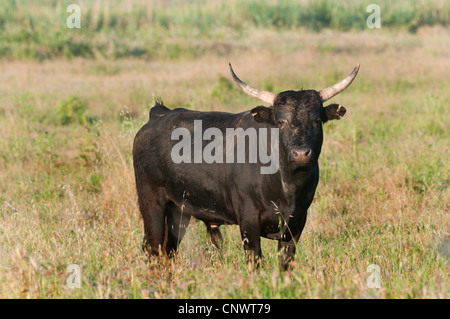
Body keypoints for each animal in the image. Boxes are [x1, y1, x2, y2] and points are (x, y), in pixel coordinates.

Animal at [133, 64, 358, 270]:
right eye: (281, 121)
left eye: (317, 120)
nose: (301, 153)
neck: (287, 185)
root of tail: (159, 114)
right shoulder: (249, 221)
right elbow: (255, 261)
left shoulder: (296, 223)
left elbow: (285, 263)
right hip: (151, 203)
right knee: (152, 248)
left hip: (178, 211)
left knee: (168, 250)